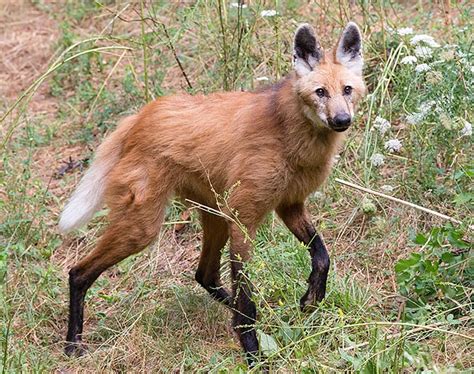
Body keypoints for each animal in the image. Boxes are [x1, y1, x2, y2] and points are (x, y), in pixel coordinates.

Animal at [59, 21, 366, 366]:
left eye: (347, 90)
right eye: (320, 92)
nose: (342, 120)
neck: (291, 135)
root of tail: (138, 116)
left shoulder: (289, 205)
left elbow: (322, 256)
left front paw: (311, 298)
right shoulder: (244, 218)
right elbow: (247, 300)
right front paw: (252, 353)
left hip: (214, 215)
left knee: (204, 274)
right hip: (144, 227)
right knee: (78, 273)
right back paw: (72, 343)